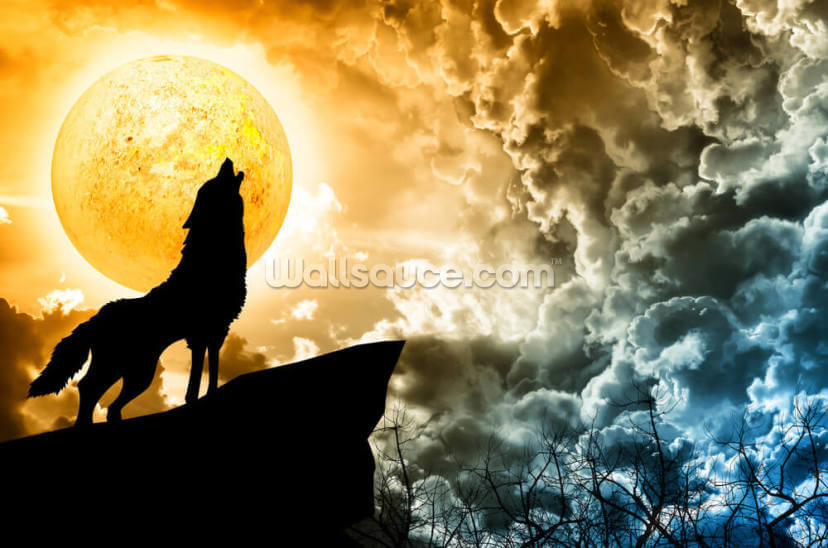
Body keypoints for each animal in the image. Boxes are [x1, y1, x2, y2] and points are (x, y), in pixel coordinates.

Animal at [29, 158, 247, 425]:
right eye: (213, 182)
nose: (226, 160)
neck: (214, 255)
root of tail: (94, 319)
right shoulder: (208, 330)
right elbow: (204, 372)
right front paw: (204, 397)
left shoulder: (209, 333)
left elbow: (205, 371)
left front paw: (199, 397)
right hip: (129, 370)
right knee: (88, 387)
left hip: (136, 373)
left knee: (100, 398)